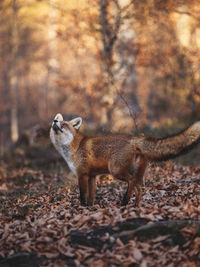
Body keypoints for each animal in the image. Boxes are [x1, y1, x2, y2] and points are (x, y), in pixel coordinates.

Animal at [50, 114, 200, 206]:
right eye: (55, 122)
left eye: (64, 124)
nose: (55, 121)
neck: (73, 147)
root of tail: (134, 138)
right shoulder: (92, 176)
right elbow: (91, 196)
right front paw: (90, 208)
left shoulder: (82, 174)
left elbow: (82, 196)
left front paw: (82, 209)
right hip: (134, 171)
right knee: (139, 186)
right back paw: (135, 205)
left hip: (116, 170)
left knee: (132, 181)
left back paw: (125, 202)